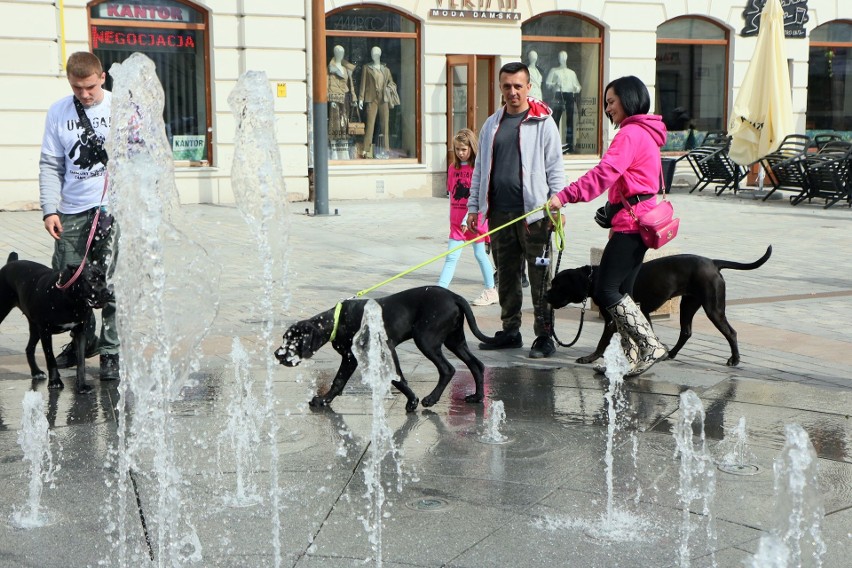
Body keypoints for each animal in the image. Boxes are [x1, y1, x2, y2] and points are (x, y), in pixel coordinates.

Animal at [0, 251, 111, 392]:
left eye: (104, 278)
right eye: (91, 279)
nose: (109, 293)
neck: (72, 301)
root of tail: (11, 262)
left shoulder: (80, 332)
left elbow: (81, 362)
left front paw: (81, 385)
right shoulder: (45, 331)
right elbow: (50, 358)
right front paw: (55, 382)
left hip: (35, 327)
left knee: (29, 348)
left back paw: (36, 372)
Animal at [272, 286, 500, 410]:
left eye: (291, 341)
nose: (276, 354)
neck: (337, 321)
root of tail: (454, 296)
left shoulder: (382, 349)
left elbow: (396, 377)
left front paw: (413, 401)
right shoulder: (352, 357)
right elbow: (339, 381)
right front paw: (324, 400)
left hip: (426, 339)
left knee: (447, 369)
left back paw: (431, 399)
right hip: (454, 340)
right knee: (476, 365)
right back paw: (477, 397)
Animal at [544, 246, 772, 366]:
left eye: (557, 284)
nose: (545, 295)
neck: (594, 278)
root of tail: (713, 262)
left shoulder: (612, 321)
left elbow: (602, 343)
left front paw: (590, 358)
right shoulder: (641, 313)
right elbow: (645, 335)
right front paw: (651, 354)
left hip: (713, 308)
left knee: (731, 332)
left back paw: (735, 359)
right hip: (688, 304)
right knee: (686, 331)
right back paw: (671, 354)